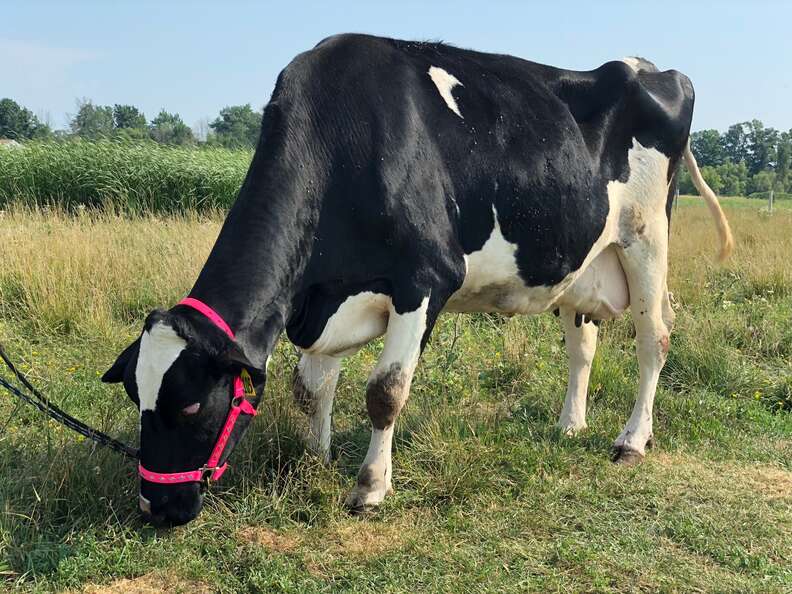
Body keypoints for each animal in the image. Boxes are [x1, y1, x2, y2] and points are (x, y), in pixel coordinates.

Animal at [101, 34, 733, 526]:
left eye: (190, 407)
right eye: (135, 393)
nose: (154, 509)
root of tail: (648, 66)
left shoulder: (426, 279)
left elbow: (385, 392)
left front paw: (369, 488)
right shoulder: (325, 297)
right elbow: (310, 389)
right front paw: (315, 457)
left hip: (647, 239)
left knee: (655, 339)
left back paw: (630, 441)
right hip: (580, 262)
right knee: (583, 345)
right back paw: (569, 425)